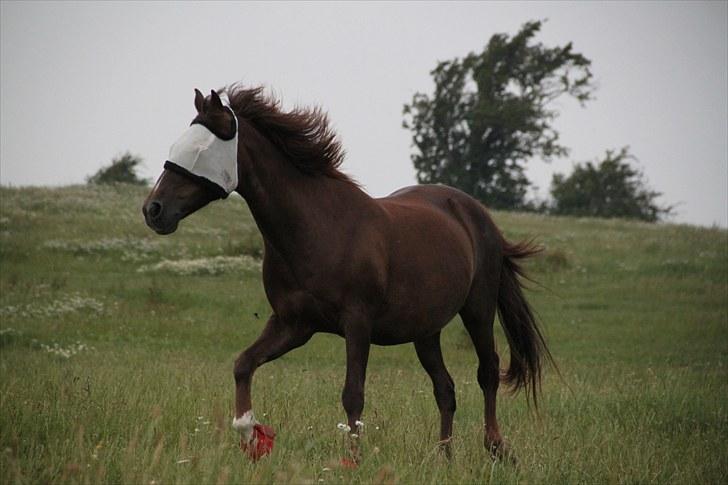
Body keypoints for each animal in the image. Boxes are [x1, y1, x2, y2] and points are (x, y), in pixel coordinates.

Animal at [143, 86, 553, 462]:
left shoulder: (357, 323)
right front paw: (250, 436)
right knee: (445, 389)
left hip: (478, 309)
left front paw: (352, 461)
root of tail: (477, 213)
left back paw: (496, 448)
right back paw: (443, 457)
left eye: (199, 150)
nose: (153, 210)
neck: (317, 227)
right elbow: (243, 364)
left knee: (488, 372)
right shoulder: (293, 324)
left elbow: (352, 394)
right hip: (426, 331)